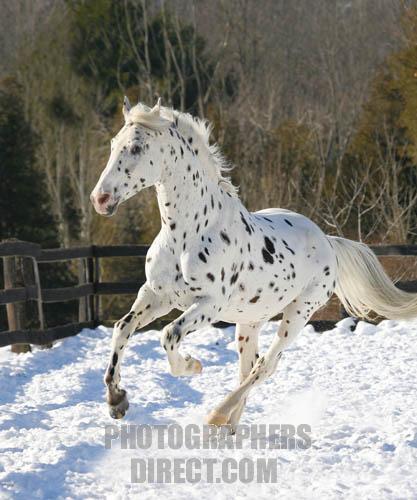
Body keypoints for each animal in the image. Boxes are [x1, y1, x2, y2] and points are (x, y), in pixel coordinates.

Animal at [90, 97, 417, 427]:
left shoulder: (209, 304)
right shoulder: (156, 295)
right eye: (113, 144)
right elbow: (122, 328)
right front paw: (117, 401)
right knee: (248, 368)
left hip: (298, 313)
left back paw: (218, 415)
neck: (188, 234)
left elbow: (170, 335)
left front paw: (193, 366)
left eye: (136, 148)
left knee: (266, 365)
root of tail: (327, 240)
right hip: (249, 321)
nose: (99, 199)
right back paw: (229, 425)